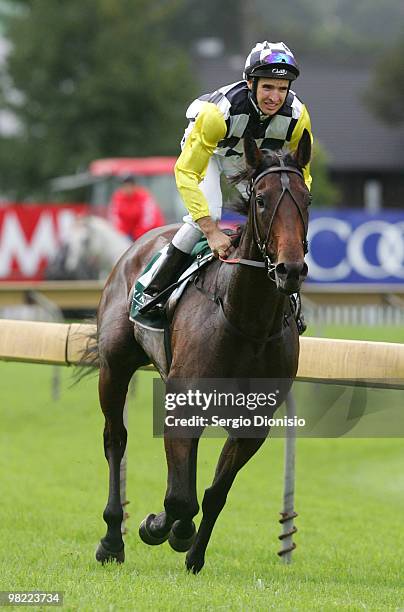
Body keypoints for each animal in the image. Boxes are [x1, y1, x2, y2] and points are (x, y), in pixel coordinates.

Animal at [93, 130, 310, 572]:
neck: (246, 319)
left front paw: (191, 549)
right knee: (115, 440)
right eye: (261, 200)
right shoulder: (182, 404)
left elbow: (212, 494)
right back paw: (112, 540)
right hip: (114, 366)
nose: (290, 270)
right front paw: (157, 527)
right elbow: (179, 498)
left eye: (307, 200)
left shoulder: (253, 422)